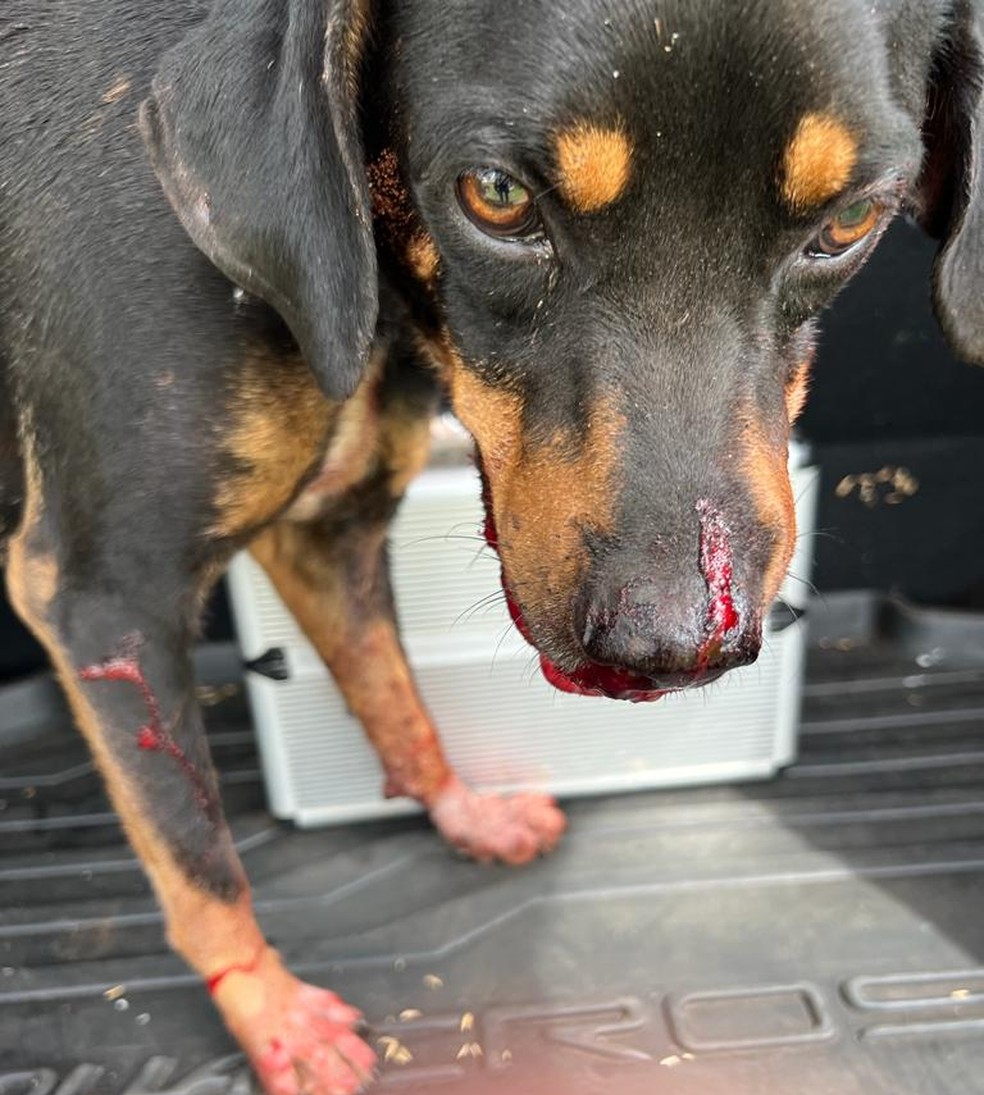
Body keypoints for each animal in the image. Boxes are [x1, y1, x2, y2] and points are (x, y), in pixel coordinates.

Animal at [1, 0, 984, 1090]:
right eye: (497, 196)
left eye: (849, 221)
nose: (675, 649)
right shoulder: (103, 599)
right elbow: (196, 852)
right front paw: (276, 1020)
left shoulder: (326, 528)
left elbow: (395, 693)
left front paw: (460, 810)